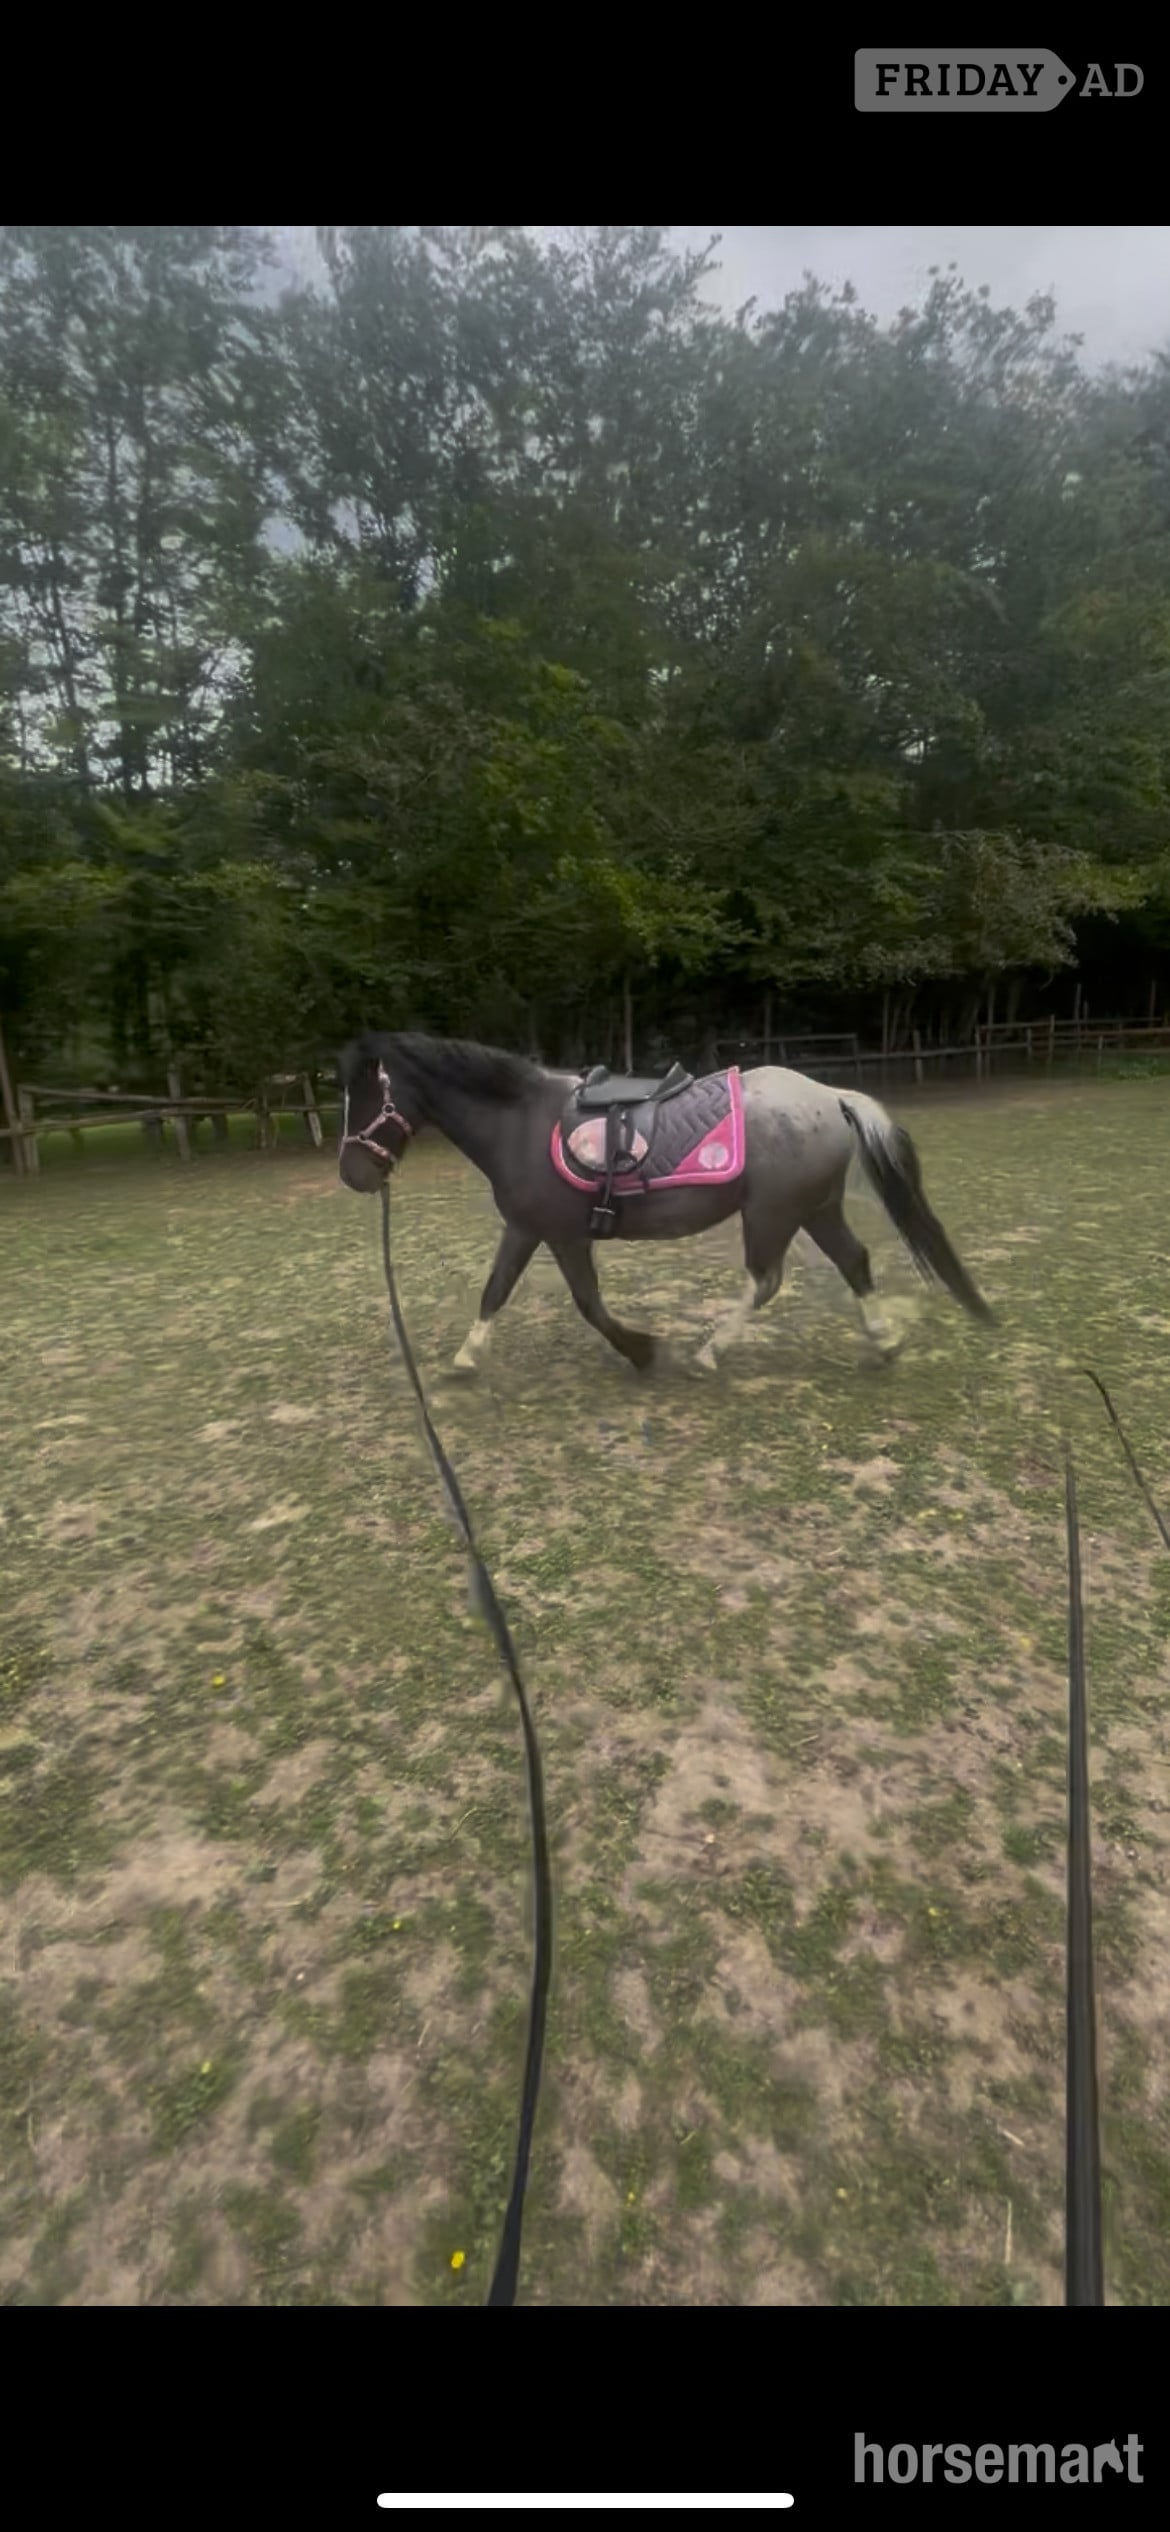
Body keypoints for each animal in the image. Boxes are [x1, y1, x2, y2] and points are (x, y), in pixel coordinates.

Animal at [336, 1030, 994, 1376]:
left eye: (366, 1096)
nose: (351, 1174)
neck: (519, 1120)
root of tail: (829, 1095)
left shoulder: (552, 1232)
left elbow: (575, 1301)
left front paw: (642, 1349)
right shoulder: (534, 1229)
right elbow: (501, 1289)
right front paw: (469, 1358)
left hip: (775, 1213)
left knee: (766, 1279)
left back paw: (708, 1353)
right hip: (816, 1208)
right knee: (853, 1261)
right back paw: (883, 1341)